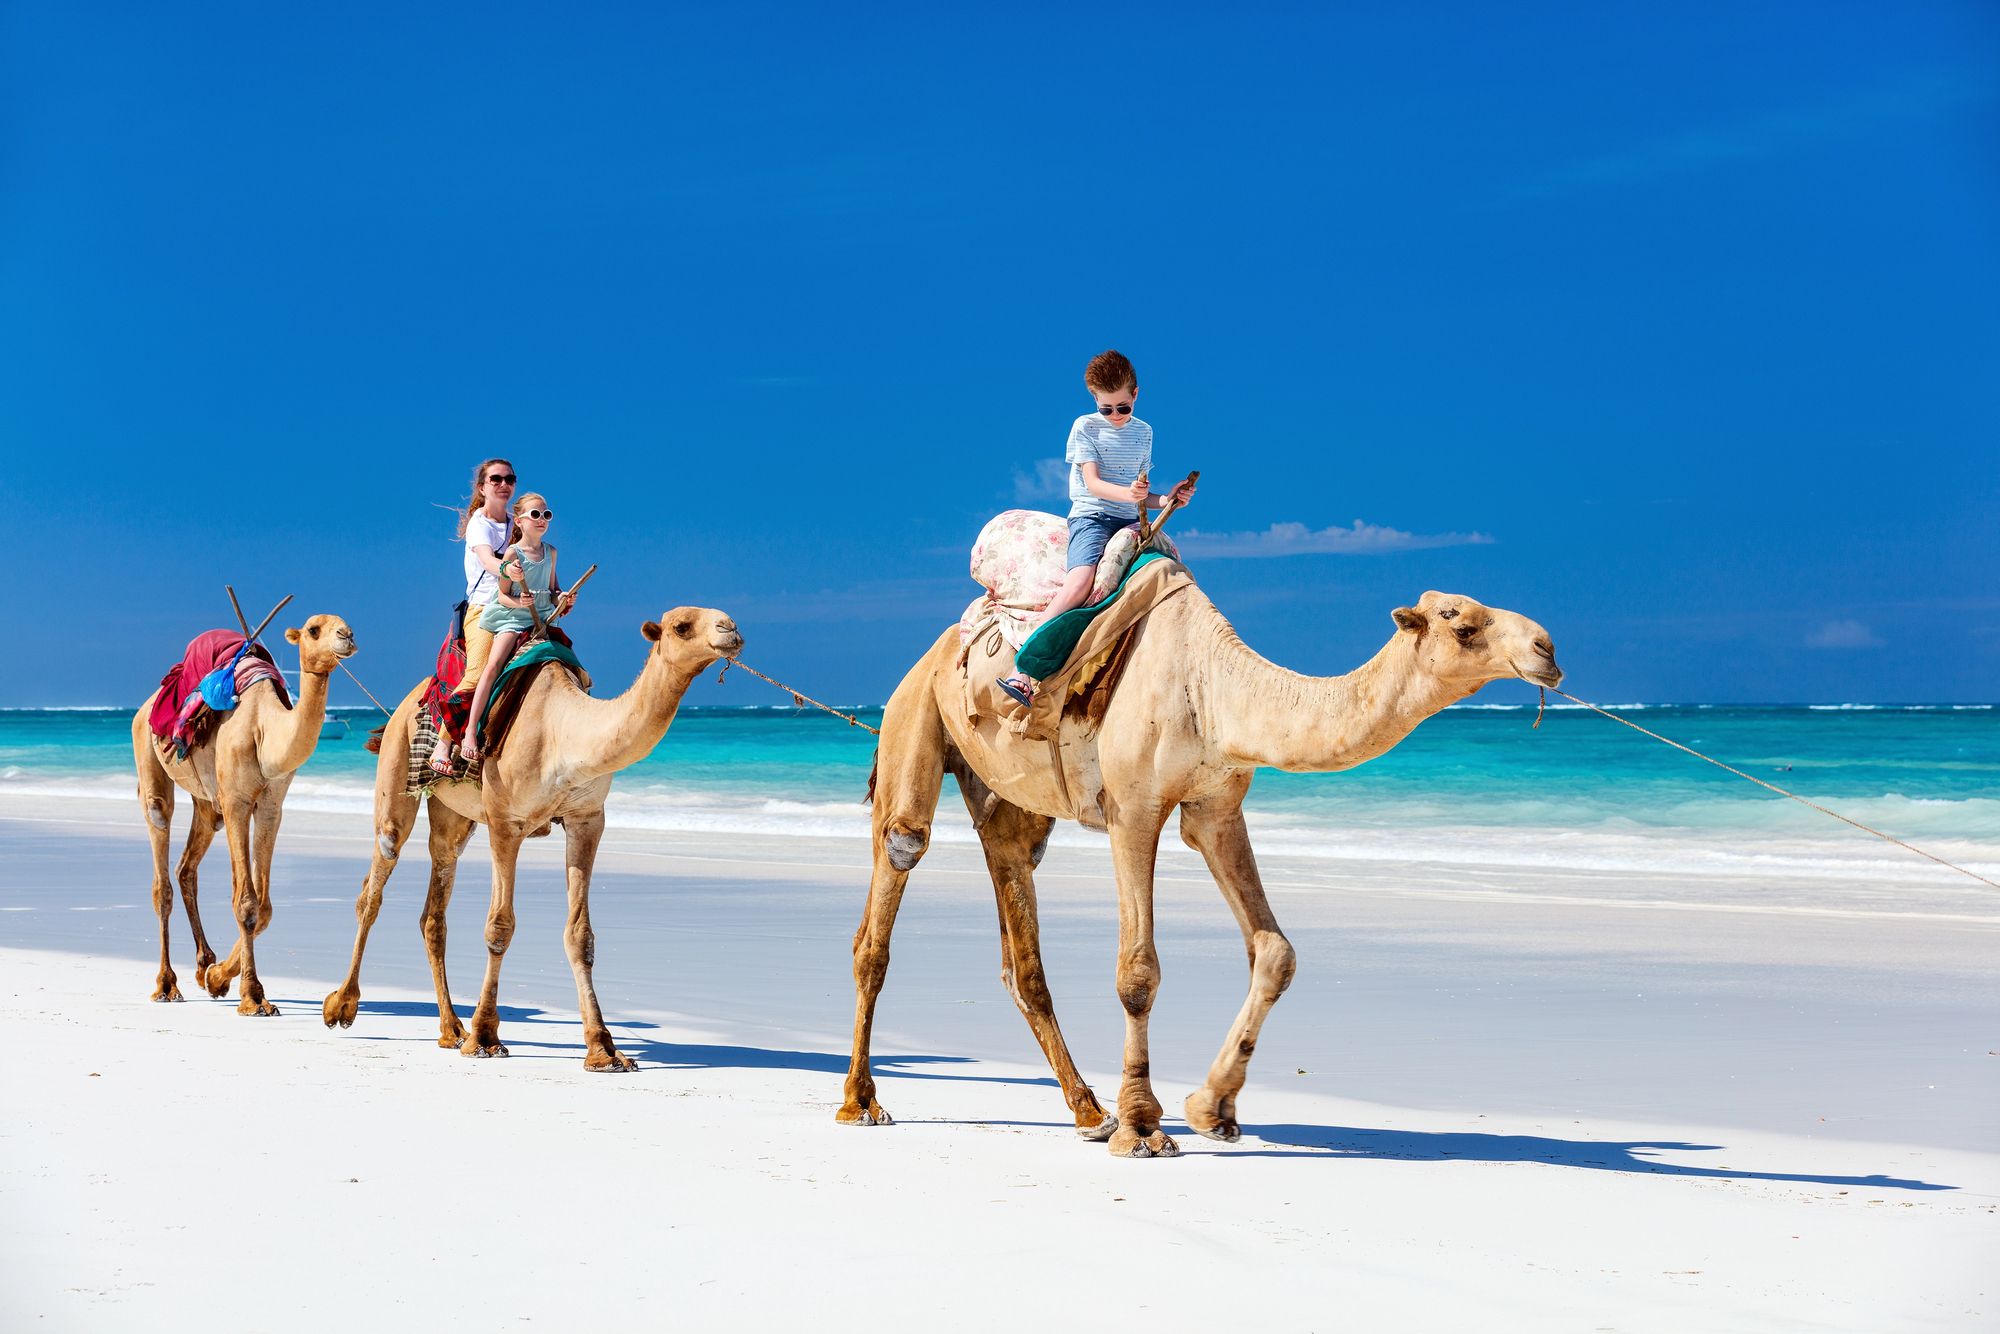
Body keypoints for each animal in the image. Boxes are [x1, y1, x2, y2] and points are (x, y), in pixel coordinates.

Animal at [130, 615, 358, 1013]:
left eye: (344, 623)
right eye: (314, 630)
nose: (346, 636)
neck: (264, 728)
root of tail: (145, 705)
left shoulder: (270, 803)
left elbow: (263, 907)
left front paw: (218, 977)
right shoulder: (237, 801)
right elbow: (246, 902)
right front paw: (253, 996)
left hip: (209, 804)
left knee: (187, 866)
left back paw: (203, 963)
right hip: (148, 752)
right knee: (161, 860)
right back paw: (166, 984)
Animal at [321, 607, 741, 1071]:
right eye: (682, 627)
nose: (731, 630)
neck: (564, 733)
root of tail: (400, 707)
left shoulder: (587, 819)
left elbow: (580, 935)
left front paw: (603, 1048)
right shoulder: (506, 822)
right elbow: (499, 927)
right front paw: (485, 1037)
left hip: (454, 819)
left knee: (435, 904)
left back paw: (450, 1029)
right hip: (397, 774)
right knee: (375, 882)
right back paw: (342, 1006)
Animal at [838, 585, 1561, 1157]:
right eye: (1461, 622)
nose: (1547, 648)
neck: (1216, 692)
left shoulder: (1216, 808)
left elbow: (1276, 952)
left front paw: (1211, 1108)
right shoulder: (1132, 809)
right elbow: (1138, 973)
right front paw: (1143, 1128)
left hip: (1010, 800)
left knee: (1018, 922)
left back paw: (1087, 1110)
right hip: (912, 716)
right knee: (897, 865)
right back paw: (861, 1101)